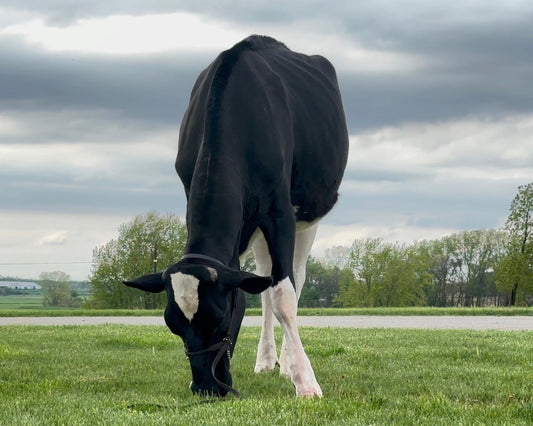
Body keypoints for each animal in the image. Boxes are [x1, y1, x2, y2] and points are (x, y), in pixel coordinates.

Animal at [124, 35, 350, 398]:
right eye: (172, 324)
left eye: (219, 317)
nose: (205, 386)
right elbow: (256, 289)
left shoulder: (279, 212)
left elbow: (284, 295)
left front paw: (306, 383)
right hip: (254, 232)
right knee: (265, 280)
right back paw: (266, 361)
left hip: (307, 219)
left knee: (294, 280)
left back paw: (287, 364)